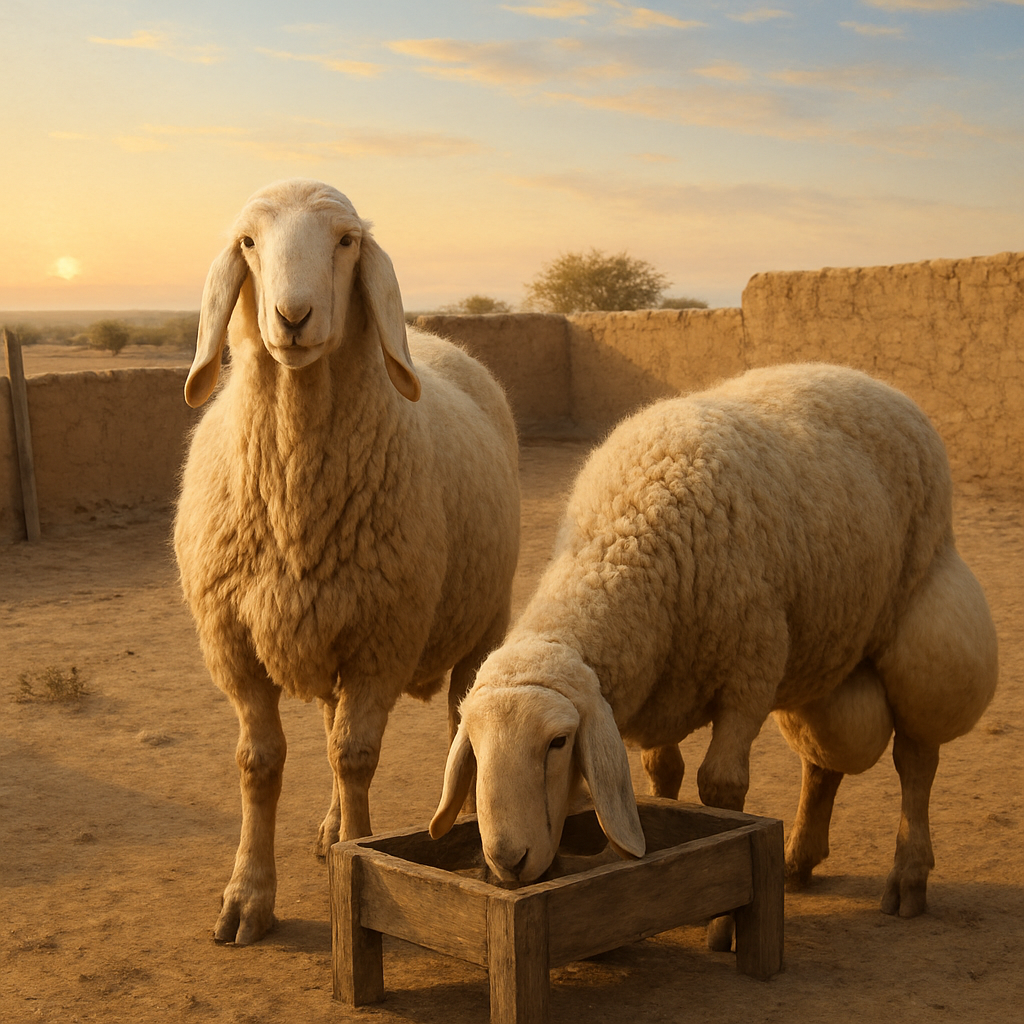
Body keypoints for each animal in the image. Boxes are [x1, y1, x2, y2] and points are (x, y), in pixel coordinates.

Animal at [173, 179, 520, 945]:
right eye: (248, 242)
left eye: (346, 241)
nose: (293, 316)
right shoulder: (233, 643)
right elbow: (261, 764)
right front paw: (248, 897)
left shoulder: (383, 638)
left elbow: (357, 756)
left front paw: (359, 877)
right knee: (333, 728)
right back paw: (332, 827)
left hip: (481, 620)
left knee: (459, 719)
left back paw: (465, 821)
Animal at [431, 362, 998, 932]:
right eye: (473, 744)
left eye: (558, 742)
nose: (508, 860)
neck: (627, 538)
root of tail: (865, 377)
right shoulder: (659, 687)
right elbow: (664, 776)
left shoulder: (751, 670)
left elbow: (721, 787)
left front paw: (723, 923)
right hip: (823, 648)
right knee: (821, 762)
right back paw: (799, 860)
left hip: (918, 615)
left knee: (915, 761)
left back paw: (907, 877)